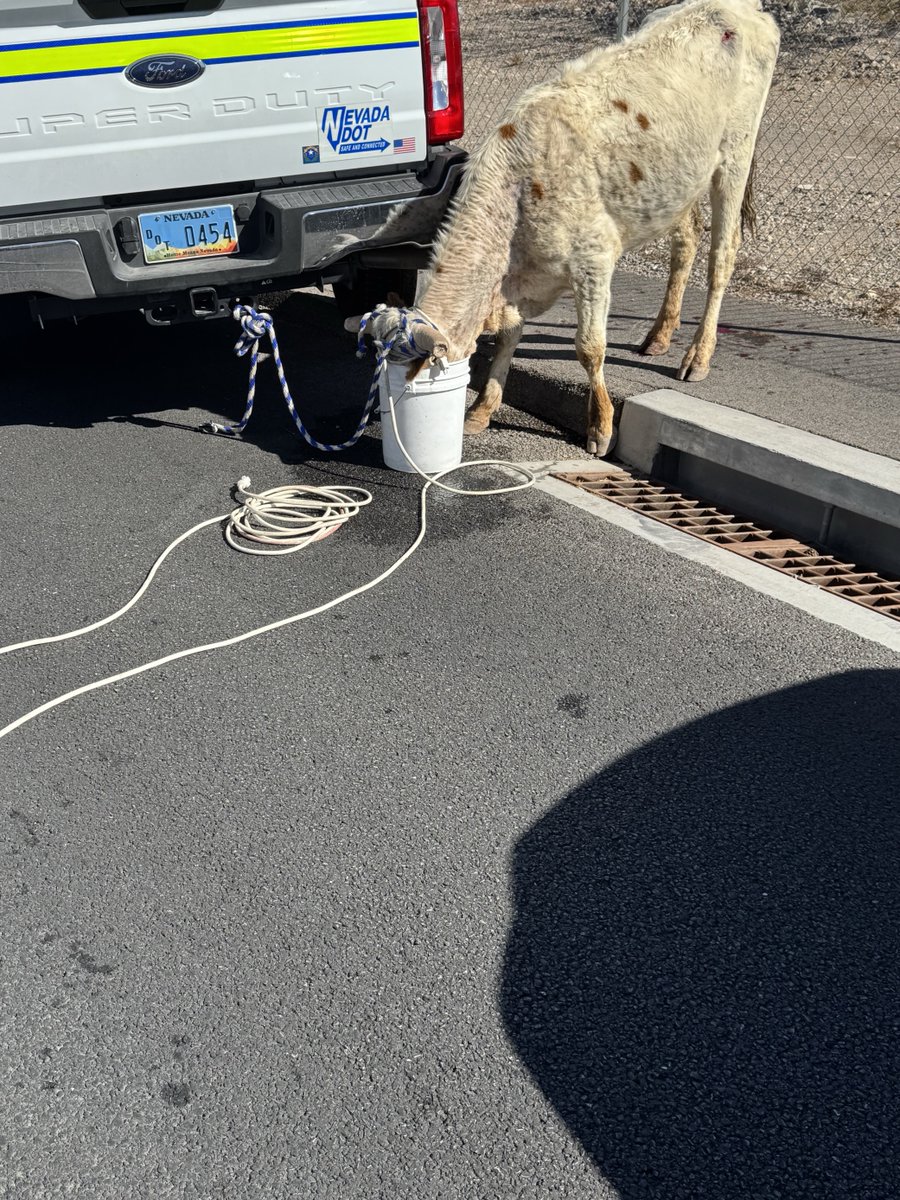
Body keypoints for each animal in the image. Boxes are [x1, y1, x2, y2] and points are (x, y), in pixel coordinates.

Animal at [347, 0, 780, 456]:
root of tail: (734, 8)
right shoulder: (519, 277)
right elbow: (508, 338)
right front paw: (483, 409)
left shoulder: (593, 257)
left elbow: (589, 347)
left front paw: (600, 426)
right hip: (679, 181)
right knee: (687, 240)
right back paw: (660, 334)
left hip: (735, 154)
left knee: (722, 255)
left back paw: (697, 356)